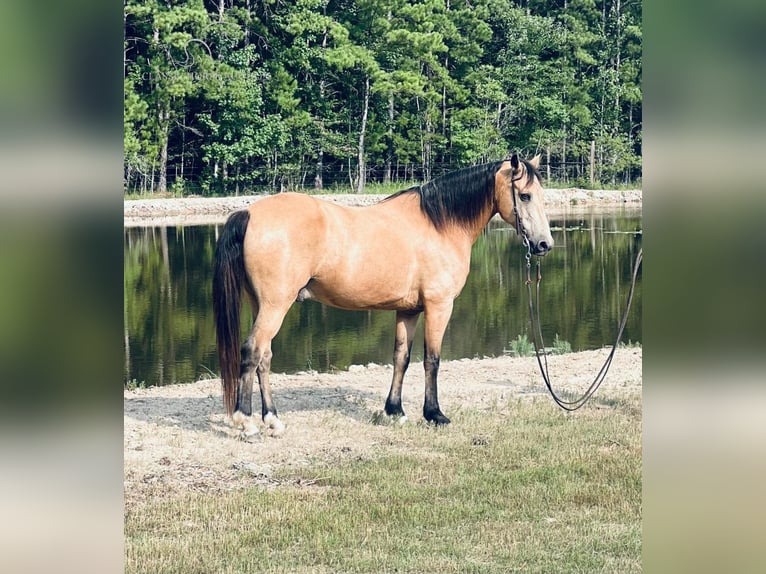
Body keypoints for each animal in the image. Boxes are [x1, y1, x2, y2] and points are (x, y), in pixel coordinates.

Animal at [213, 155, 556, 438]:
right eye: (524, 195)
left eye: (541, 195)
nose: (544, 245)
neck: (440, 224)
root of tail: (249, 213)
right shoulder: (439, 306)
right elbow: (432, 360)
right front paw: (435, 415)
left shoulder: (409, 310)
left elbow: (401, 358)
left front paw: (395, 411)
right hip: (275, 306)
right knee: (252, 351)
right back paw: (247, 423)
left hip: (263, 305)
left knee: (264, 358)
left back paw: (272, 420)